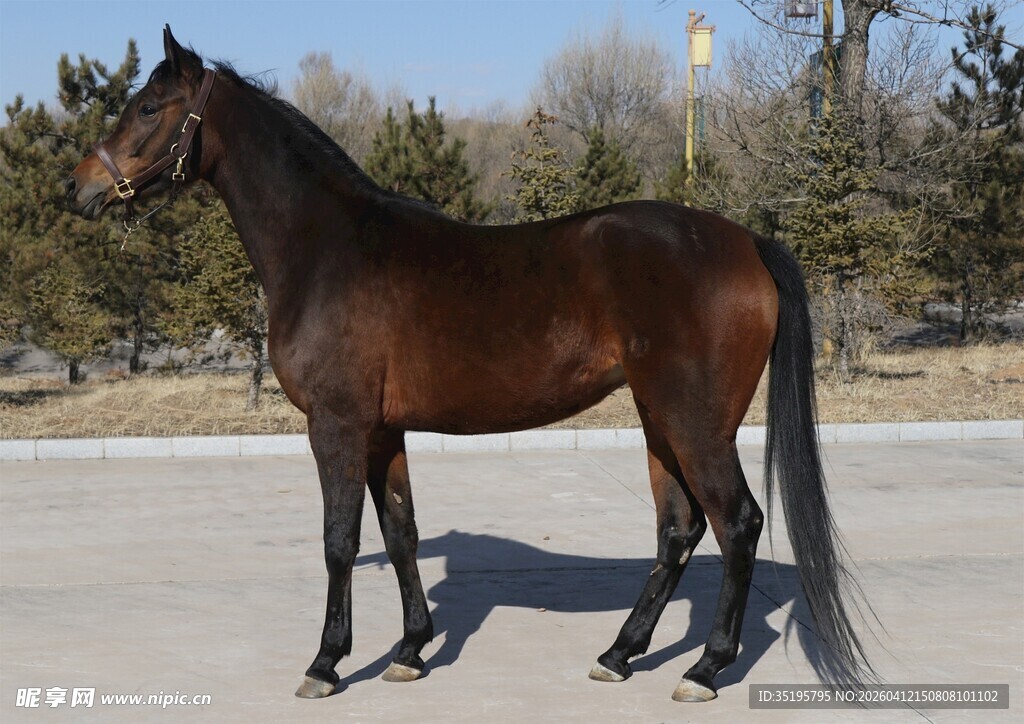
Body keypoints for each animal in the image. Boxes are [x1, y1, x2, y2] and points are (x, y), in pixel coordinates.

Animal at [66, 27, 872, 702]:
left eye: (148, 107)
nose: (79, 190)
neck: (326, 247)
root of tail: (745, 243)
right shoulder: (381, 430)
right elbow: (400, 532)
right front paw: (410, 651)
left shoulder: (336, 425)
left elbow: (338, 542)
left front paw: (327, 663)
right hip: (658, 419)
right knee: (678, 529)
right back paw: (618, 654)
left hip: (696, 424)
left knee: (737, 523)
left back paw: (704, 669)